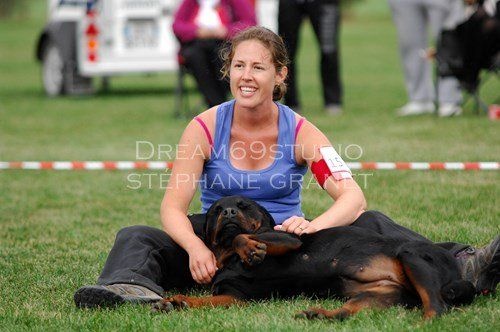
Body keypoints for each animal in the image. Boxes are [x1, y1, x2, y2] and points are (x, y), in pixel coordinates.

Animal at [153, 196, 476, 320]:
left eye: (244, 205)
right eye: (217, 210)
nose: (230, 212)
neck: (228, 258)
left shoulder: (287, 239)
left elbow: (241, 237)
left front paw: (250, 248)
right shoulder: (236, 296)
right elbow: (203, 301)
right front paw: (177, 301)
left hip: (411, 255)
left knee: (437, 308)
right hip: (378, 295)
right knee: (347, 312)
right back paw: (319, 314)